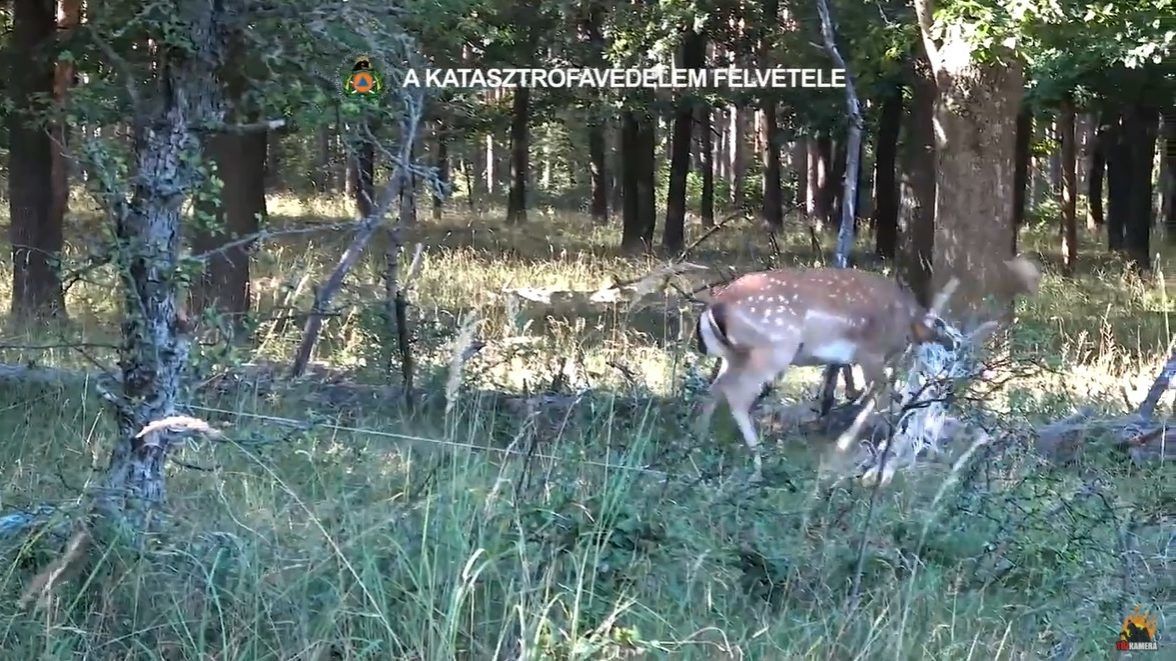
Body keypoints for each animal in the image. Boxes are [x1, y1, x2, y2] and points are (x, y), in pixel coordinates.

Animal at [691, 259, 1044, 482]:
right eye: (952, 350)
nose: (949, 391)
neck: (906, 323)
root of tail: (713, 308)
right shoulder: (869, 353)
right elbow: (882, 400)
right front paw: (878, 459)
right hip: (773, 347)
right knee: (736, 393)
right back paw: (757, 463)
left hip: (734, 354)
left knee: (715, 387)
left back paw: (697, 441)